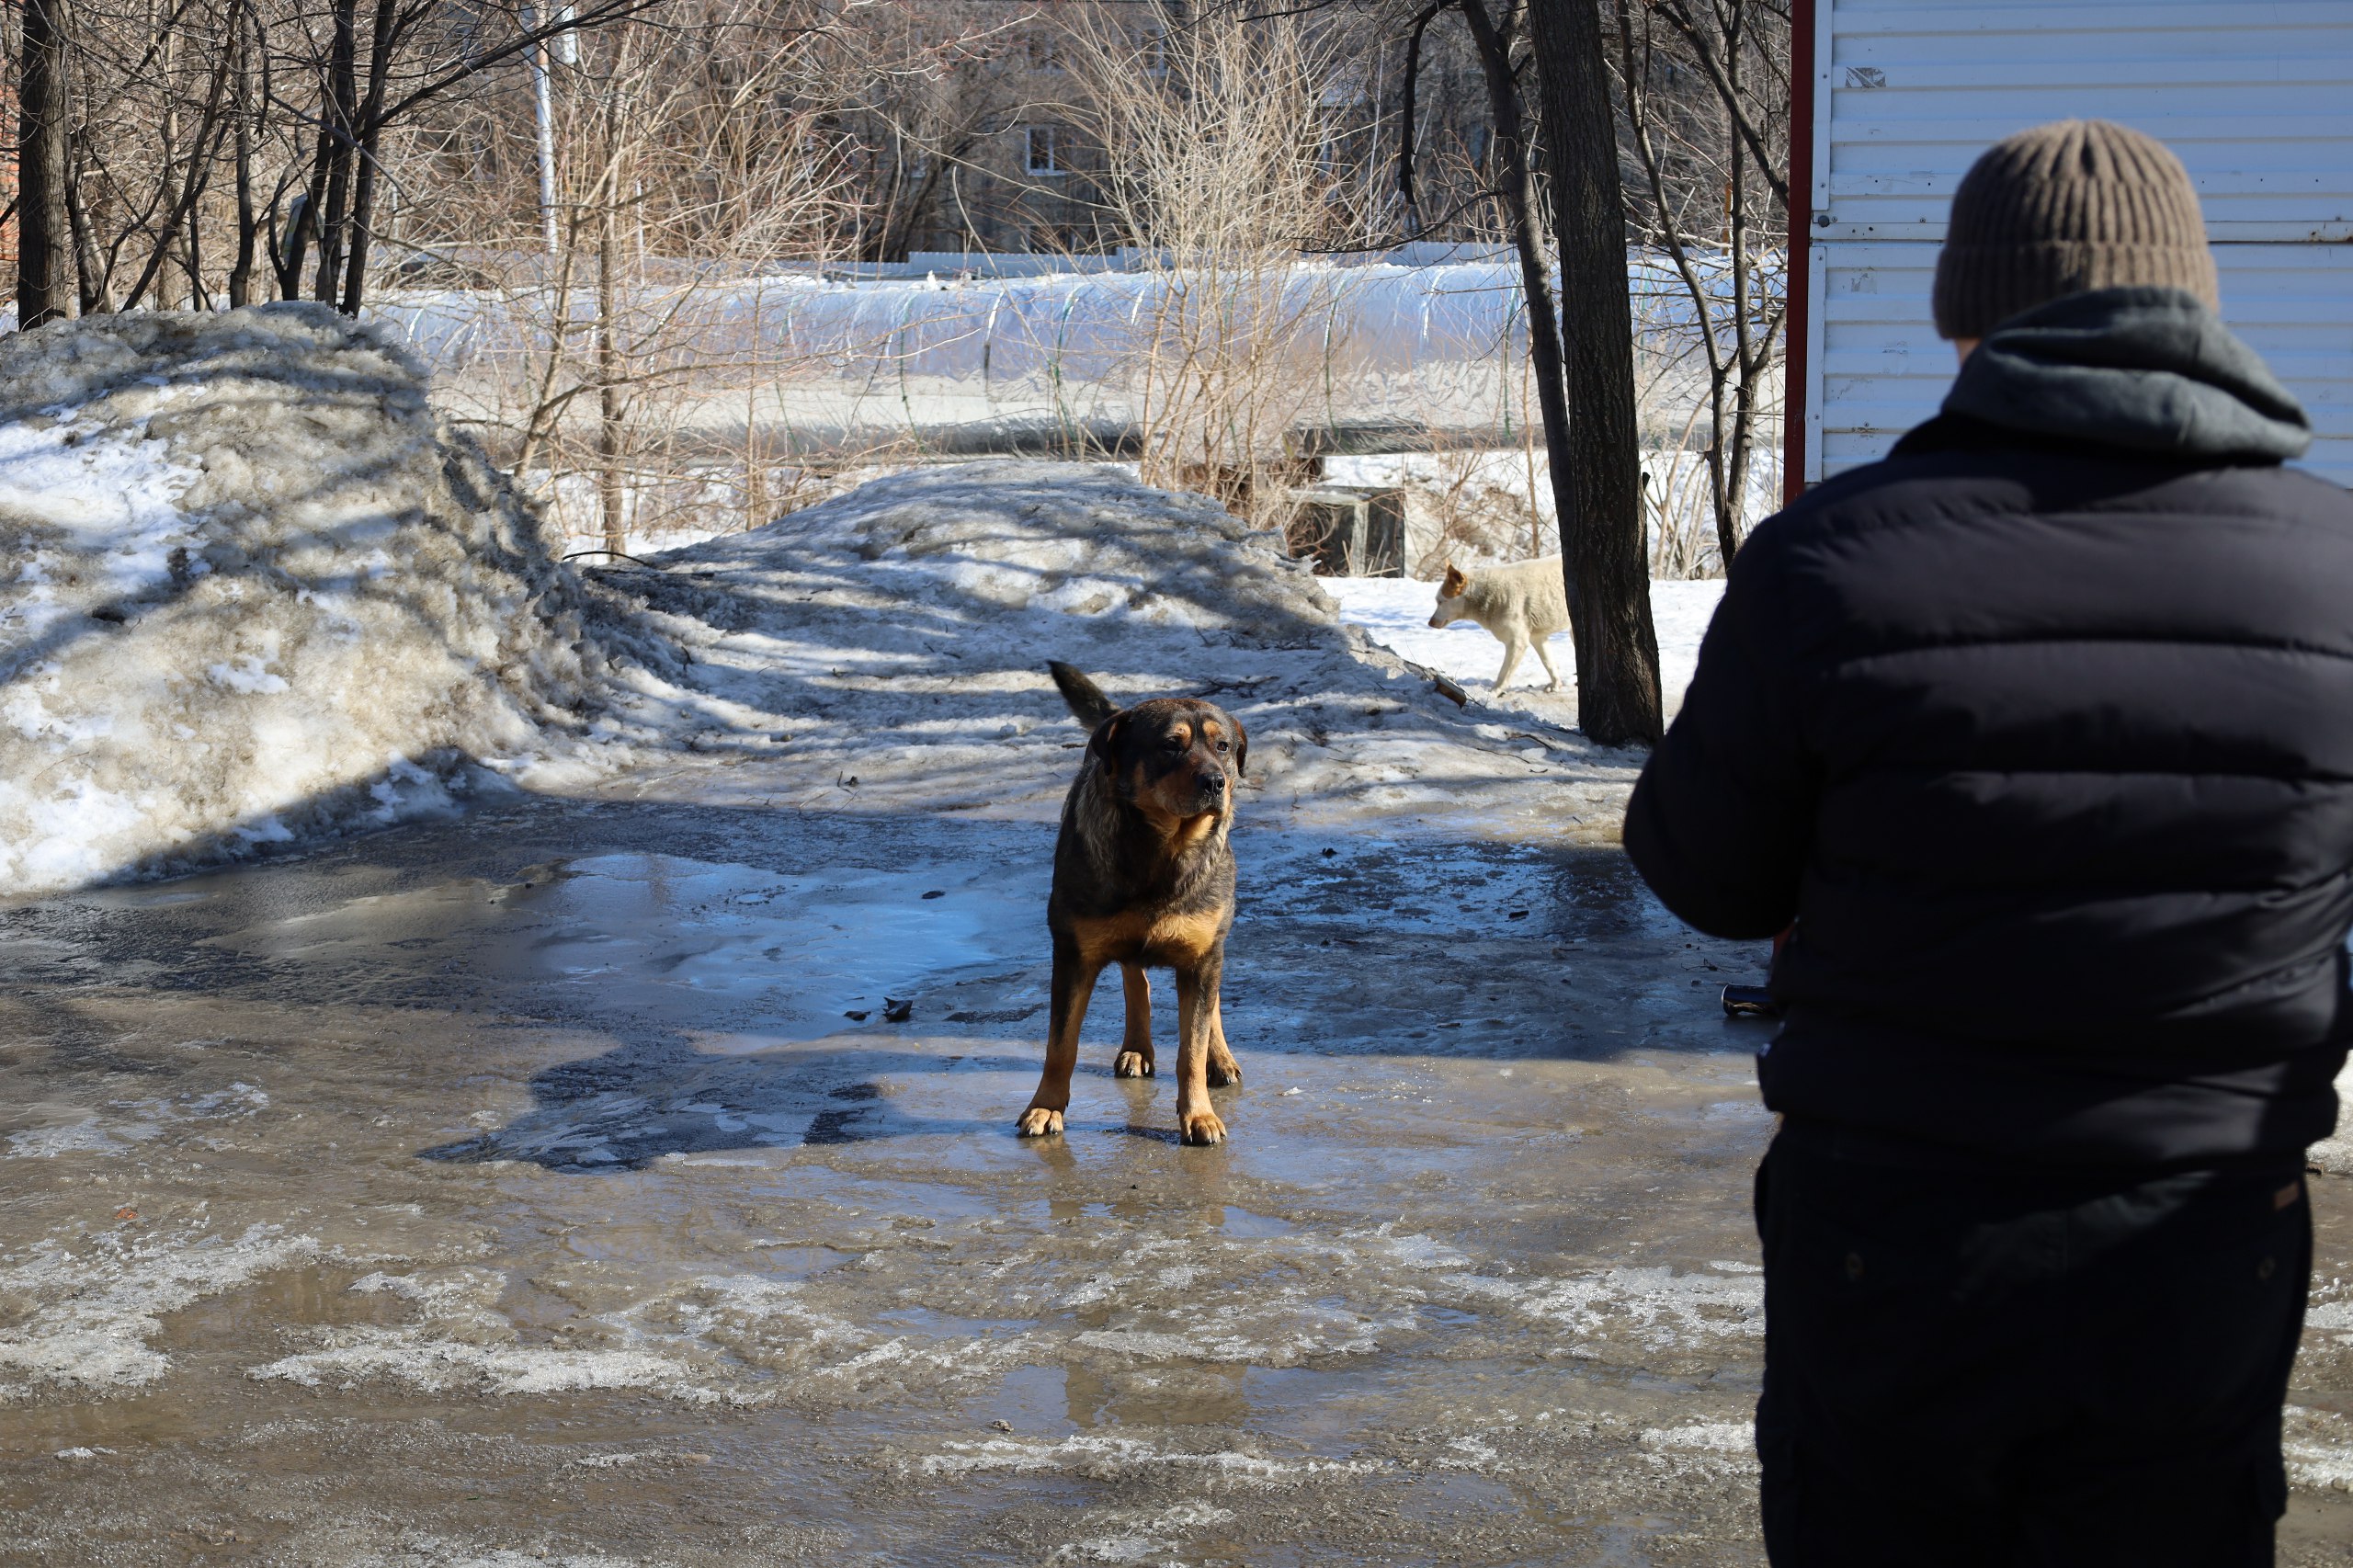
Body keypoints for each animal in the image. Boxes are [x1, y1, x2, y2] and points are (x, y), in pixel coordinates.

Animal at [1026, 659, 1261, 1149]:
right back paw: (1137, 1046)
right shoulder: (1072, 954)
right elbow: (1061, 1044)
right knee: (1136, 977)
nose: (1217, 781)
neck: (1164, 851)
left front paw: (1199, 1114)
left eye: (1223, 746)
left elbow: (1191, 1047)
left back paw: (1219, 1057)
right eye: (1171, 745)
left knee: (1208, 1004)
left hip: (1212, 944)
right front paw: (1046, 1107)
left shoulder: (1203, 956)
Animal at [1421, 555, 1572, 692]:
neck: (1486, 594)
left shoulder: (1517, 643)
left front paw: (1494, 693)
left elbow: (1503, 674)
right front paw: (1556, 685)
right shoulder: (1537, 637)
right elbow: (1549, 663)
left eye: (1441, 601)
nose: (1430, 623)